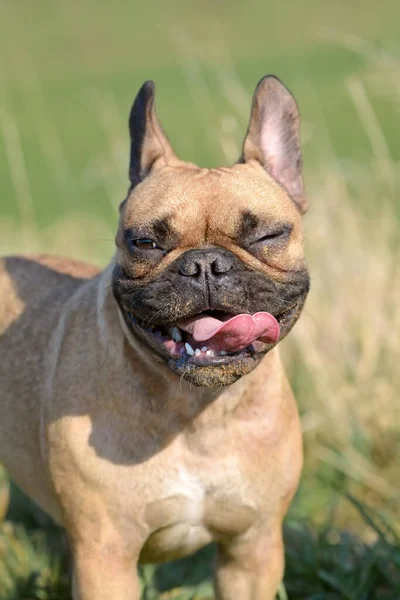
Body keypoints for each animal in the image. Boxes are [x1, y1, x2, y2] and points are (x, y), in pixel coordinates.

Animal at [0, 76, 310, 600]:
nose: (205, 265)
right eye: (144, 242)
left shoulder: (251, 550)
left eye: (268, 236)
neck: (196, 413)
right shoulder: (106, 559)